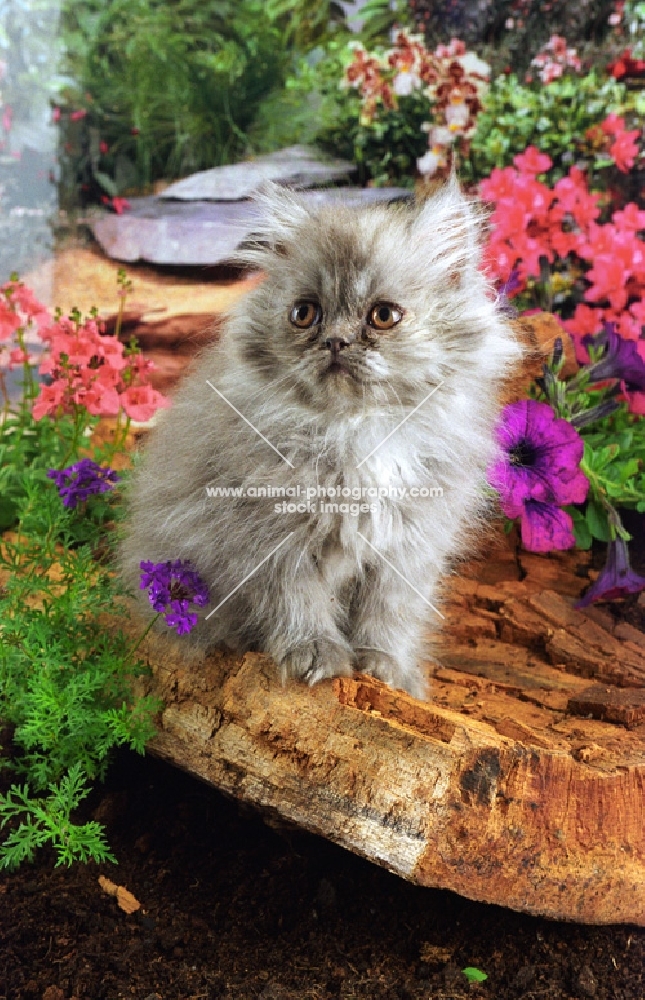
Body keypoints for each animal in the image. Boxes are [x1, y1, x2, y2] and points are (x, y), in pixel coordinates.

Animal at [119, 182, 524, 696]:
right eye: (304, 313)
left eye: (383, 315)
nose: (334, 340)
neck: (356, 430)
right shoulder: (269, 540)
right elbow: (299, 602)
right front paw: (316, 656)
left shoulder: (410, 546)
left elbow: (389, 613)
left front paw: (386, 668)